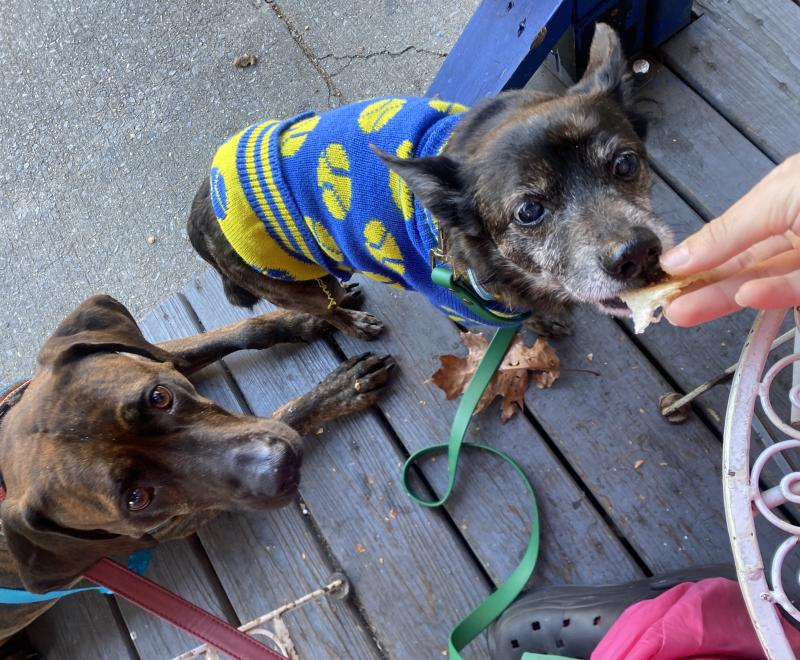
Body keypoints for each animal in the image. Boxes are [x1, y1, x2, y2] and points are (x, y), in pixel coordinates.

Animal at [191, 23, 672, 338]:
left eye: (625, 165)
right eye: (529, 211)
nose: (638, 253)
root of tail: (200, 210)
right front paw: (541, 320)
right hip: (287, 285)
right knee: (324, 312)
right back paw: (353, 322)